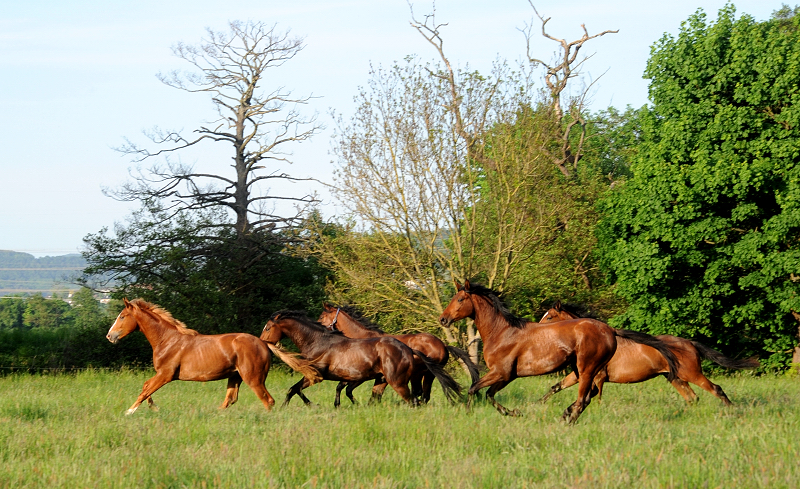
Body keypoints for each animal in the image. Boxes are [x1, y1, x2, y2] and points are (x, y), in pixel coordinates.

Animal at [104, 296, 320, 414]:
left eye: (122, 316)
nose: (109, 336)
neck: (167, 340)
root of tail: (264, 343)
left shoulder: (165, 374)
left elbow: (145, 390)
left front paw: (129, 412)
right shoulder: (162, 375)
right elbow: (146, 388)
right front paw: (153, 407)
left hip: (253, 378)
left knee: (268, 401)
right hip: (235, 377)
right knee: (230, 400)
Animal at [260, 310, 462, 406]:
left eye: (268, 327)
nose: (261, 343)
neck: (318, 342)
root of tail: (407, 348)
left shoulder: (316, 376)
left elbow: (293, 390)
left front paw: (287, 407)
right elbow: (297, 390)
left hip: (400, 381)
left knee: (416, 399)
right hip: (384, 380)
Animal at [318, 304, 482, 406]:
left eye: (321, 317)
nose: (318, 326)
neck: (362, 338)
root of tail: (443, 345)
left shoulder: (361, 375)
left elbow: (345, 388)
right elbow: (368, 393)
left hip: (425, 374)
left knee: (422, 394)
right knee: (422, 394)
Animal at [438, 280, 676, 422]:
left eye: (460, 299)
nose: (443, 319)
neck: (502, 332)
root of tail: (609, 329)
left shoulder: (500, 372)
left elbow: (473, 388)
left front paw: (468, 413)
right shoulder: (508, 376)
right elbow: (488, 394)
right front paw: (514, 412)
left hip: (587, 369)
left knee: (583, 400)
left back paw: (567, 421)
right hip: (580, 370)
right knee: (585, 398)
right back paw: (565, 415)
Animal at [536, 302, 760, 404]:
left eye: (550, 316)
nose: (536, 329)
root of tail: (690, 343)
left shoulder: (597, 377)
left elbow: (596, 398)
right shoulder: (580, 374)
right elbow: (556, 386)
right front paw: (539, 404)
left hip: (692, 373)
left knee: (716, 389)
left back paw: (731, 410)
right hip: (674, 377)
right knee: (692, 398)